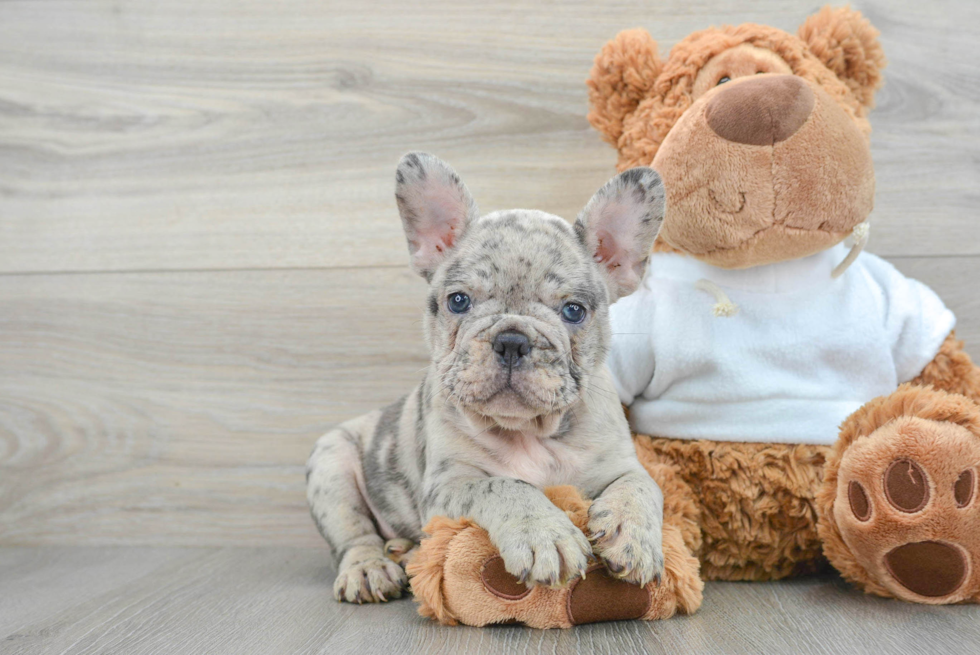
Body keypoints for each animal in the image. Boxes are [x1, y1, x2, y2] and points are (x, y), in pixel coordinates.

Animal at [308, 154, 668, 604]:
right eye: (458, 301)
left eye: (574, 311)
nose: (511, 340)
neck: (528, 433)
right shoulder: (450, 485)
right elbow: (505, 486)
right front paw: (543, 533)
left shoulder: (619, 463)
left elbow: (644, 487)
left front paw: (633, 537)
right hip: (332, 463)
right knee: (353, 536)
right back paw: (370, 567)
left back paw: (404, 551)